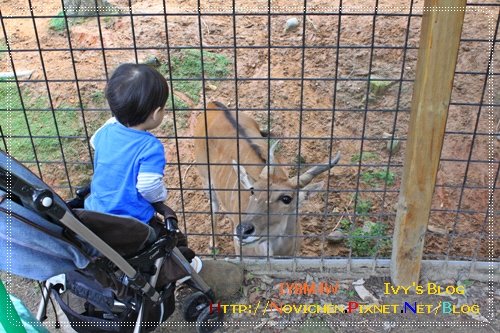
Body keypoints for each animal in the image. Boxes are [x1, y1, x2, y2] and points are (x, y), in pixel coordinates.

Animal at [192, 100, 340, 254]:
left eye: (286, 198)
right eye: (252, 191)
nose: (243, 230)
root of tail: (213, 105)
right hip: (205, 180)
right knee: (214, 206)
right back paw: (213, 243)